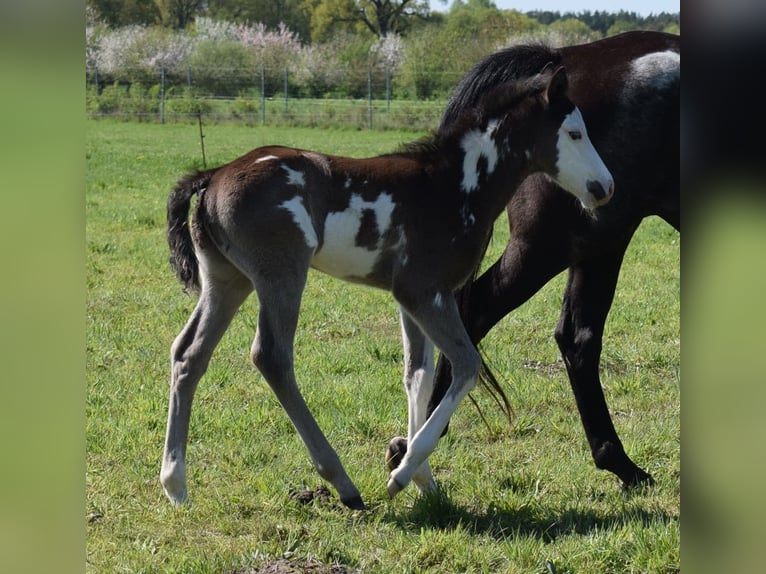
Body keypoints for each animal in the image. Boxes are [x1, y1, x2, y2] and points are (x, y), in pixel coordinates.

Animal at [160, 66, 614, 510]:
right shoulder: (424, 292)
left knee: (188, 354)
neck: (453, 187)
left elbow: (418, 374)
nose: (605, 188)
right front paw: (402, 474)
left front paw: (423, 479)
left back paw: (175, 484)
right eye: (575, 133)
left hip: (227, 280)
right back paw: (342, 482)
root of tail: (212, 176)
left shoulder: (412, 299)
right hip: (282, 275)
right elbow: (466, 365)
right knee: (271, 356)